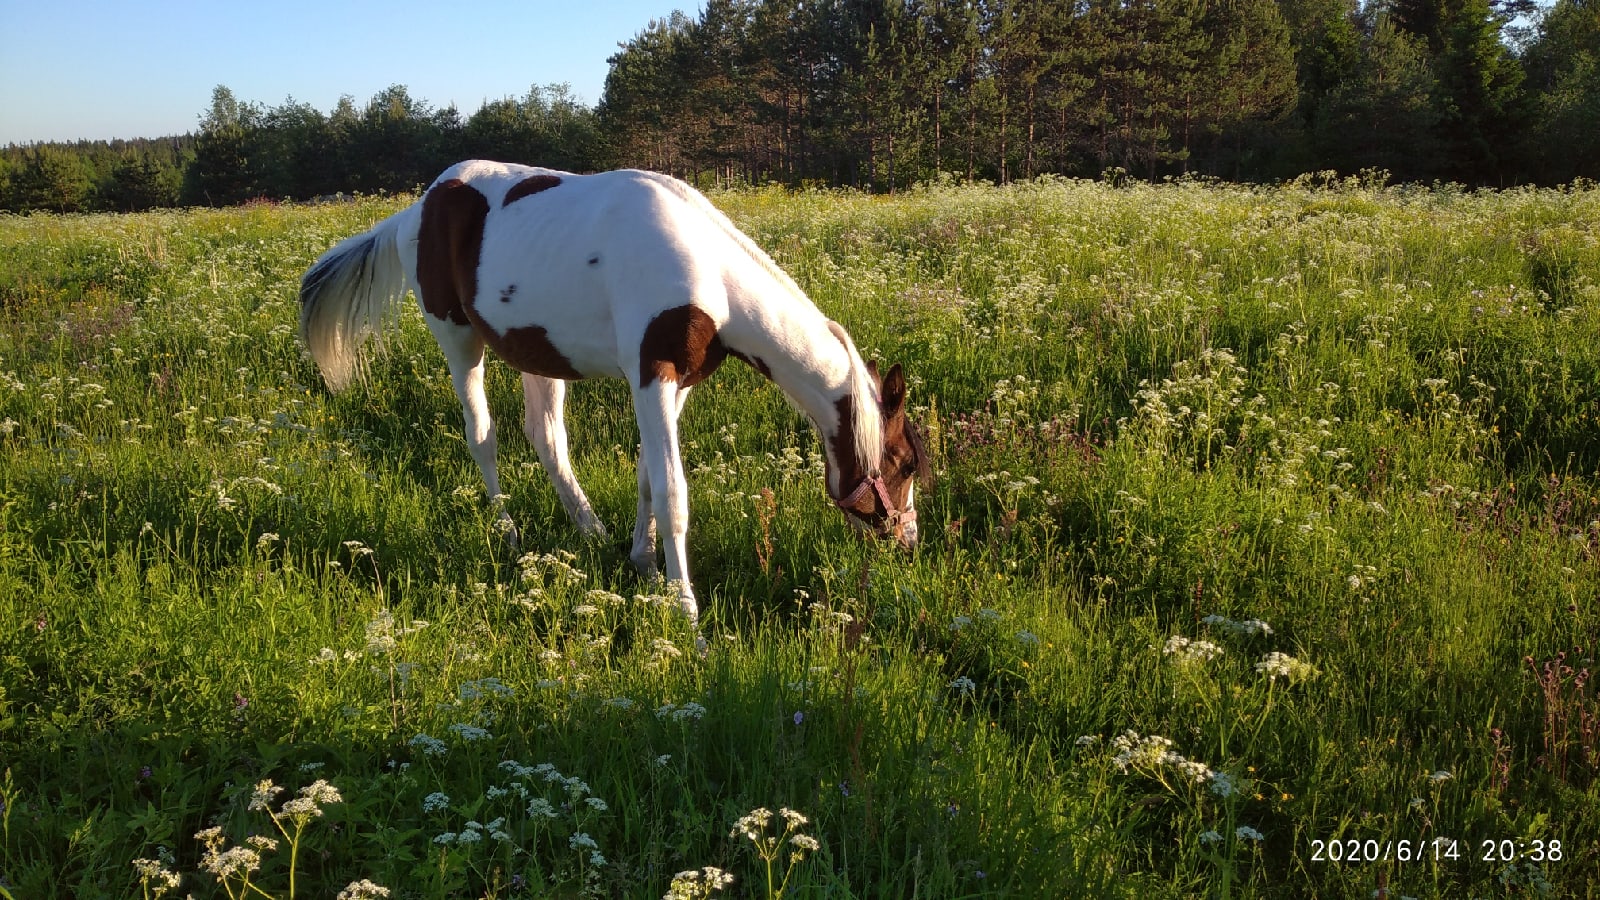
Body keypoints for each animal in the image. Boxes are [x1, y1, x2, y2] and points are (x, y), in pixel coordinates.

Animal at [300, 160, 934, 624]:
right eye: (903, 464)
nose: (908, 542)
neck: (707, 271)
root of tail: (418, 206)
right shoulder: (652, 373)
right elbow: (674, 492)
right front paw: (687, 615)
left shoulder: (678, 383)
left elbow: (649, 477)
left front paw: (644, 567)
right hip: (457, 339)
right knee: (482, 435)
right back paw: (508, 537)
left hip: (539, 355)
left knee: (546, 437)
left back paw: (590, 532)